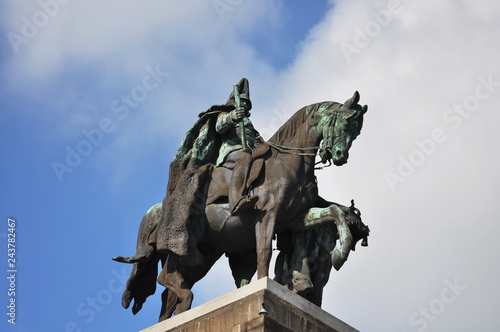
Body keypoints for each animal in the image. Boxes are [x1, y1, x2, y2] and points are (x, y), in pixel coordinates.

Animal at [116, 91, 368, 322]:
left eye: (357, 132)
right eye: (346, 124)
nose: (340, 156)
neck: (289, 164)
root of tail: (160, 208)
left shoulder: (297, 218)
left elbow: (334, 212)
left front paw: (341, 252)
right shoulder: (267, 215)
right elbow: (263, 252)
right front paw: (264, 284)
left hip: (202, 254)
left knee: (168, 292)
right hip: (183, 246)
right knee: (165, 279)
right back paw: (185, 300)